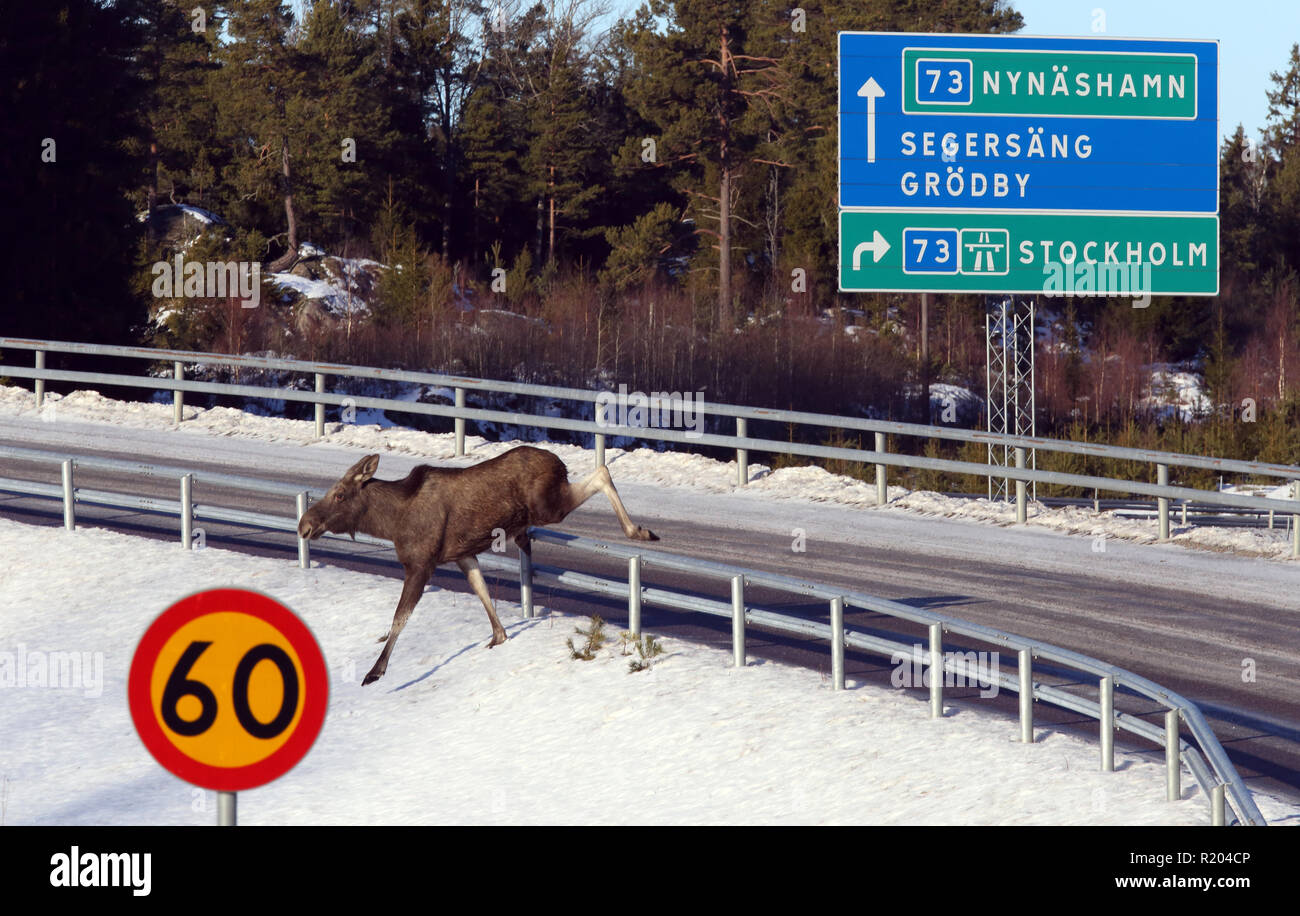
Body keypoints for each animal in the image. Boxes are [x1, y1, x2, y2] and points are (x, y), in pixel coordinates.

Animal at [297, 446, 660, 680]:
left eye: (340, 494)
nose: (304, 525)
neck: (391, 523)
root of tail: (559, 463)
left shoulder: (420, 564)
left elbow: (399, 619)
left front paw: (375, 671)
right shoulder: (462, 554)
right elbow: (482, 590)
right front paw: (499, 636)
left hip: (548, 506)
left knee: (602, 471)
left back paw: (640, 531)